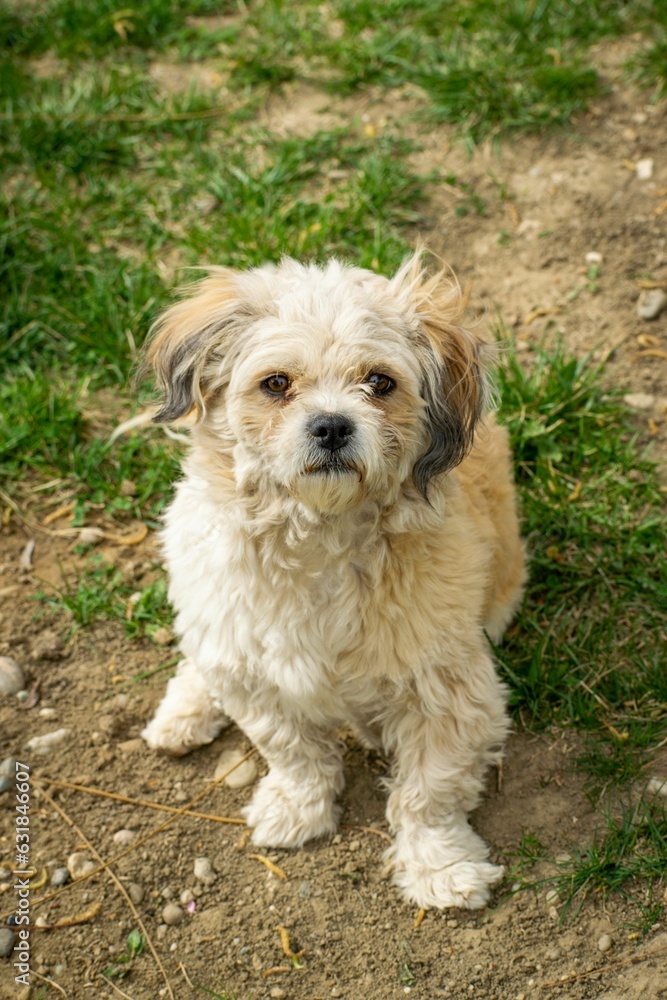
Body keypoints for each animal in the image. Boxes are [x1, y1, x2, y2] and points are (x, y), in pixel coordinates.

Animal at [142, 252, 528, 916]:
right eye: (276, 383)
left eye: (379, 382)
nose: (331, 426)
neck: (318, 541)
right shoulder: (261, 680)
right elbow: (293, 752)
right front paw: (297, 809)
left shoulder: (450, 694)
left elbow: (429, 791)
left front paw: (440, 867)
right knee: (202, 654)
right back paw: (184, 711)